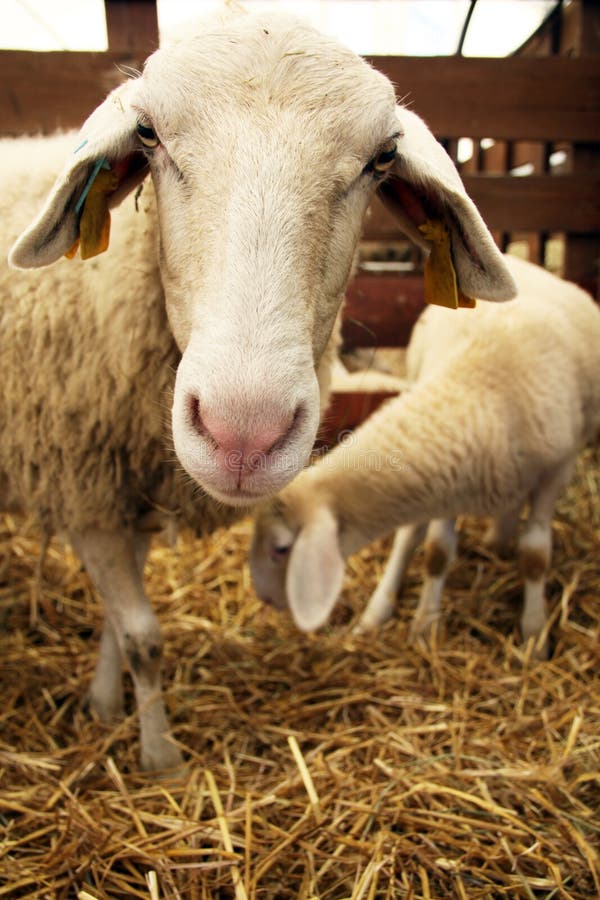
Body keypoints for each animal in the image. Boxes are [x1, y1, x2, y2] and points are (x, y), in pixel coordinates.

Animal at [2, 10, 516, 768]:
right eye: (148, 133)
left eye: (381, 158)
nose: (244, 434)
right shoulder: (83, 489)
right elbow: (142, 636)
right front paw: (160, 757)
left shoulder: (124, 492)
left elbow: (118, 620)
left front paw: (105, 706)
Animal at [251, 256, 600, 656]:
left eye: (280, 548)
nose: (263, 598)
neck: (480, 392)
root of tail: (516, 260)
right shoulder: (455, 476)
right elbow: (436, 551)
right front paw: (423, 625)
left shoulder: (555, 470)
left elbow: (535, 555)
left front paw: (534, 636)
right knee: (409, 537)